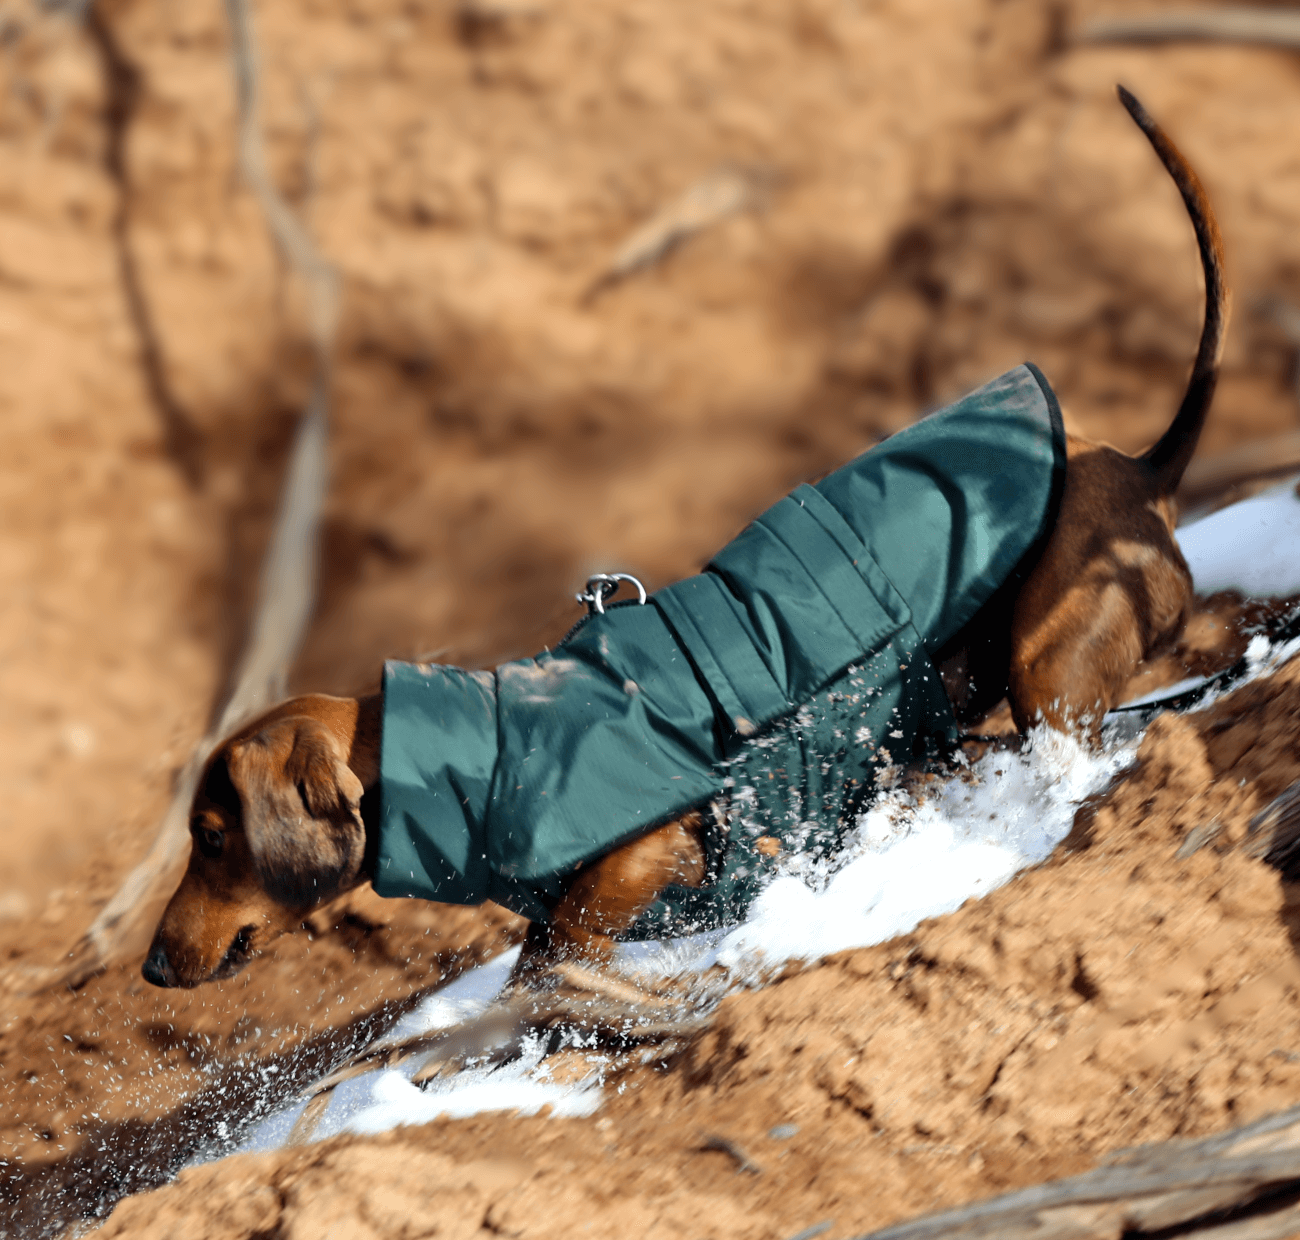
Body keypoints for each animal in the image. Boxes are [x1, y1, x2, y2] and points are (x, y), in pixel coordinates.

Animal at [142, 89, 1227, 987]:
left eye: (213, 837)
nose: (151, 966)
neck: (471, 761)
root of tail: (1140, 467)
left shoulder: (647, 849)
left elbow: (560, 944)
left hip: (1050, 674)